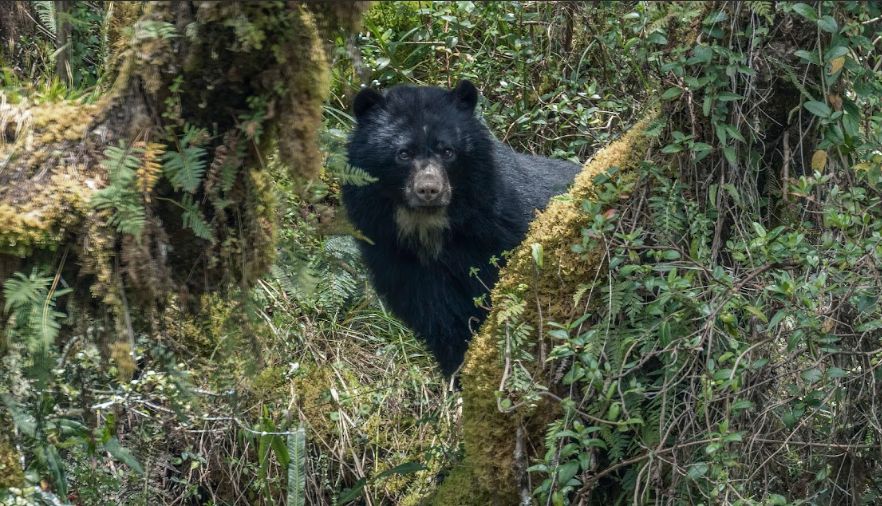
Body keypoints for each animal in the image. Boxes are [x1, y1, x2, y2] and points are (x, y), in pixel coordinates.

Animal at [343, 80, 580, 375]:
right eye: (403, 154)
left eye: (448, 152)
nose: (429, 190)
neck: (430, 229)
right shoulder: (395, 260)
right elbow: (442, 325)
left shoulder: (502, 227)